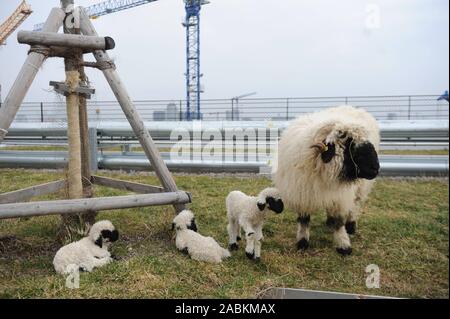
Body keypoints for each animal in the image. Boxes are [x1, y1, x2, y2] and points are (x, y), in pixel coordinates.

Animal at [272, 106, 382, 256]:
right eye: (350, 144)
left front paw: (344, 245)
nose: (376, 168)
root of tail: (350, 107)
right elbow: (304, 220)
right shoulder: (302, 195)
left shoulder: (341, 197)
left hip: (361, 187)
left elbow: (339, 223)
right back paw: (329, 221)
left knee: (355, 205)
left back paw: (351, 226)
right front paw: (302, 242)